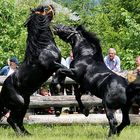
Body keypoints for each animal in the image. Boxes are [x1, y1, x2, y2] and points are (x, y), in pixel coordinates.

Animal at [0, 5, 65, 136]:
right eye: (43, 8)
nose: (52, 6)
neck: (43, 47)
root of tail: (2, 91)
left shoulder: (55, 66)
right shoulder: (53, 65)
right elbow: (64, 69)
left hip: (25, 103)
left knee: (18, 120)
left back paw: (27, 134)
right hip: (19, 103)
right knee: (11, 119)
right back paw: (20, 135)